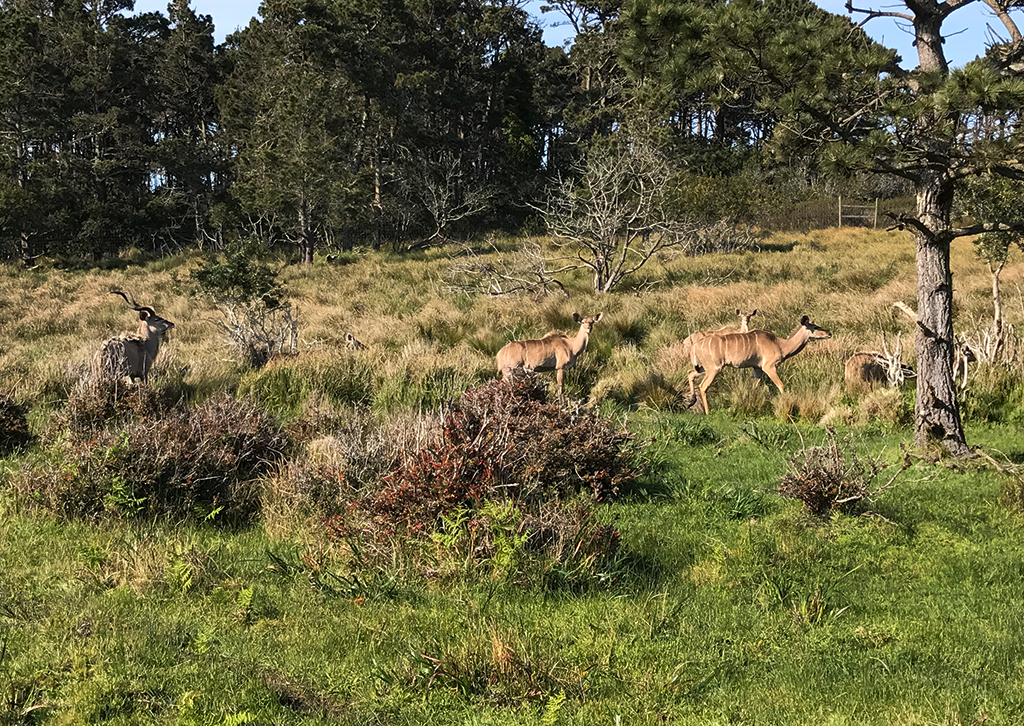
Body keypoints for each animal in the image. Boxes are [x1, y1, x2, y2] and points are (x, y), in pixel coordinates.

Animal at [688, 315, 831, 413]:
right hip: (714, 368)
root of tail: (695, 346)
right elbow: (781, 385)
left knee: (690, 373)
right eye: (815, 327)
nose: (829, 333)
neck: (780, 345)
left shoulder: (757, 369)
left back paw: (691, 401)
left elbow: (753, 387)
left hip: (705, 368)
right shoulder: (769, 367)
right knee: (703, 386)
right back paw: (707, 411)